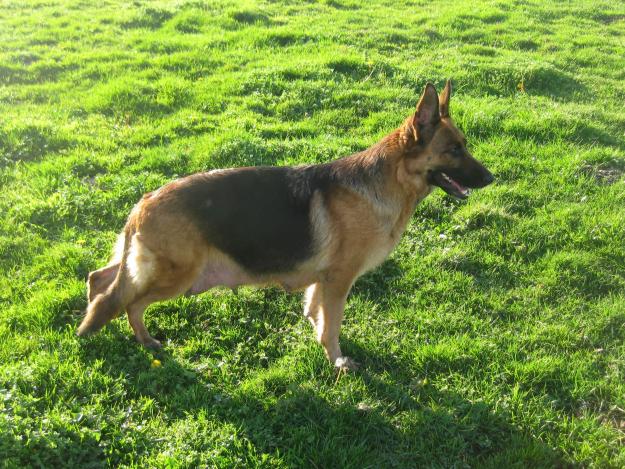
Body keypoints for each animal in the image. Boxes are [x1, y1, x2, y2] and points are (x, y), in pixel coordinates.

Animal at [78, 82, 492, 372]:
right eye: (454, 150)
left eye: (465, 145)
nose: (492, 177)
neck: (385, 181)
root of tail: (145, 201)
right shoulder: (339, 280)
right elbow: (332, 324)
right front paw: (337, 361)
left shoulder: (322, 281)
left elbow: (315, 311)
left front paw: (317, 336)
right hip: (176, 276)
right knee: (128, 301)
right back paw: (146, 340)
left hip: (144, 265)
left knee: (100, 279)